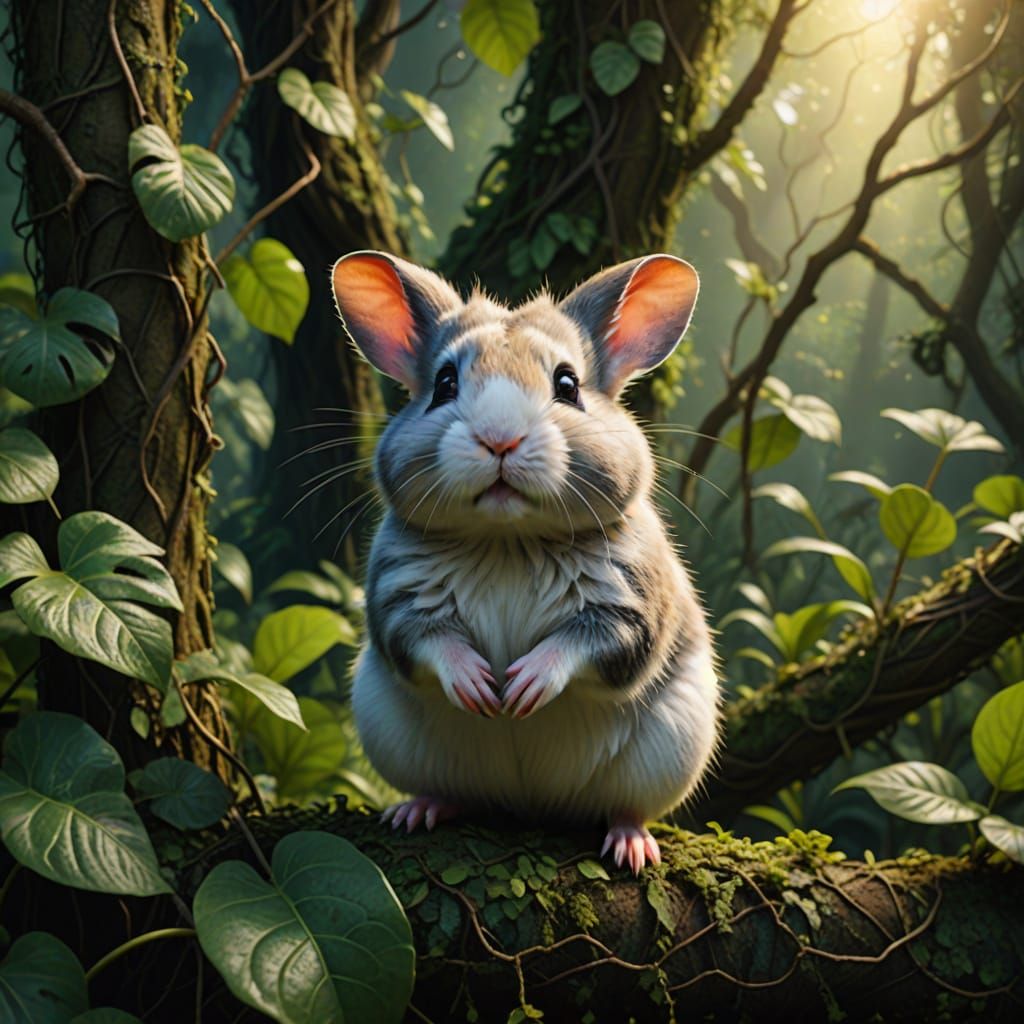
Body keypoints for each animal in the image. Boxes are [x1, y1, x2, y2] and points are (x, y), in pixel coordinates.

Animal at [331, 250, 719, 873]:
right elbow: (423, 638)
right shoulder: (395, 593)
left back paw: (631, 842)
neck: (508, 540)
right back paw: (419, 809)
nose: (500, 438)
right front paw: (478, 684)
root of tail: (529, 804)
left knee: (626, 806)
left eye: (567, 384)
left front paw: (524, 685)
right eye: (444, 383)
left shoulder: (631, 604)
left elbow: (591, 643)